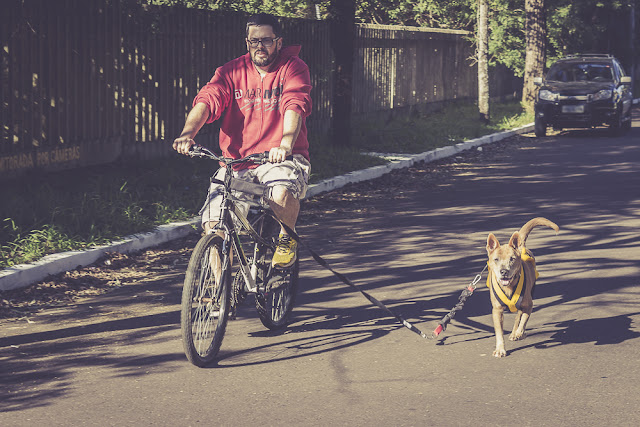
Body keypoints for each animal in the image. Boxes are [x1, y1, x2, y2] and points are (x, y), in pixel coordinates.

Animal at [488, 217, 556, 358]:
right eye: (496, 259)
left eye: (512, 259)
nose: (504, 271)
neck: (508, 287)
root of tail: (522, 247)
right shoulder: (497, 310)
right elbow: (499, 333)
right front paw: (500, 349)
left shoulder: (528, 305)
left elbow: (523, 320)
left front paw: (520, 333)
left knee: (518, 317)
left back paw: (516, 333)